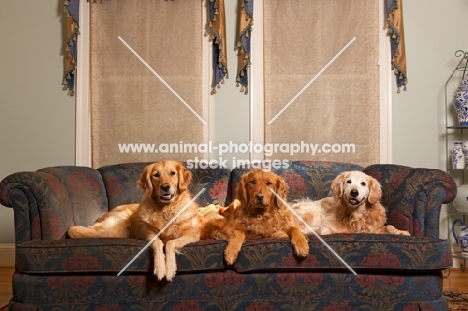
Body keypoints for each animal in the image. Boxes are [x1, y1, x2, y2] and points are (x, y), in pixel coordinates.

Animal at [68, 162, 201, 282]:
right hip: (115, 228)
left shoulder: (192, 235)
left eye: (172, 173)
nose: (165, 187)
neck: (165, 209)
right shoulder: (148, 233)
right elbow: (158, 243)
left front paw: (170, 268)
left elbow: (170, 243)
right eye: (156, 175)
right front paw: (160, 268)